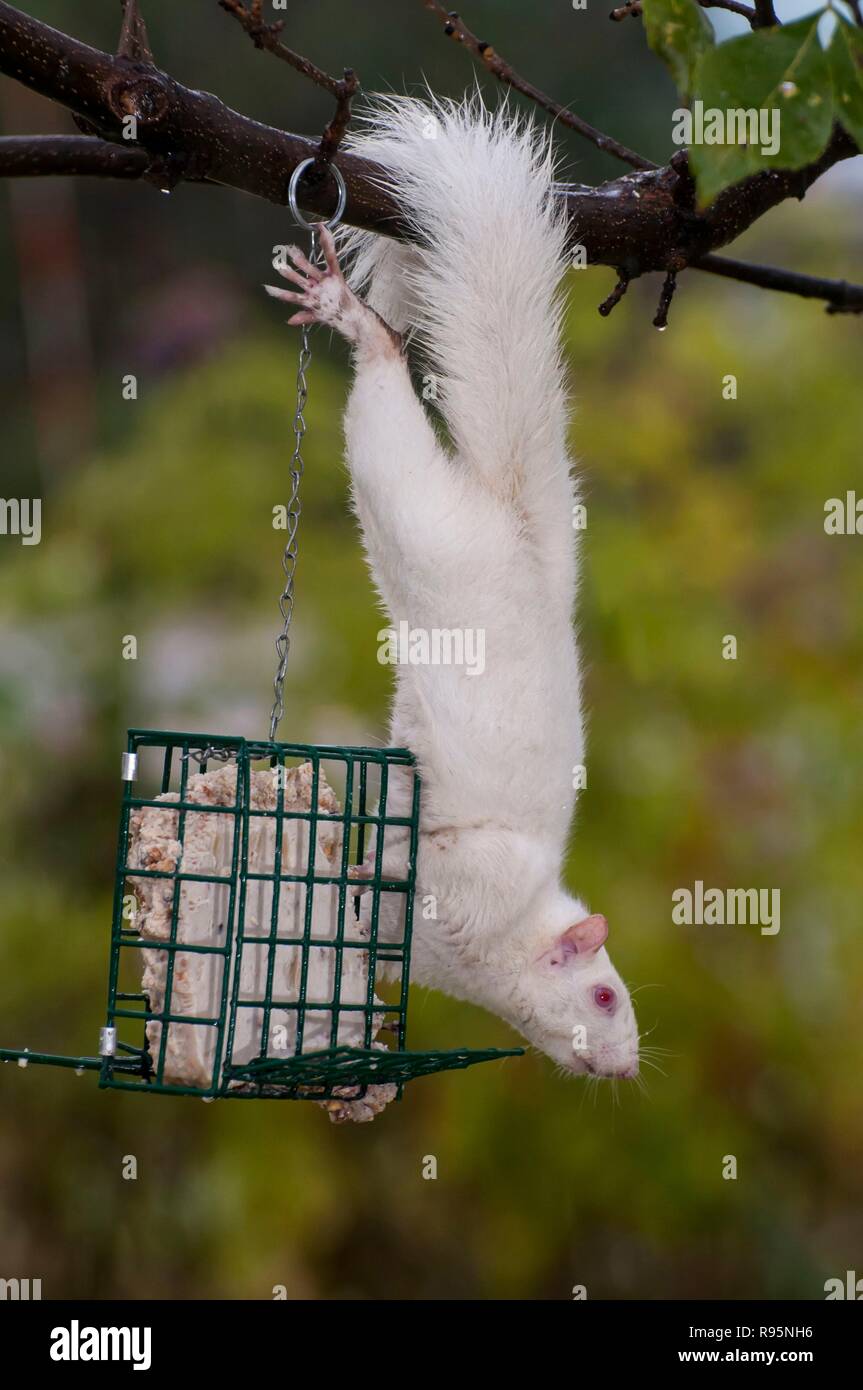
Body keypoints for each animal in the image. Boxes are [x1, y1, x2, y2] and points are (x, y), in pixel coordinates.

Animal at [265, 97, 636, 1078]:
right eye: (603, 994)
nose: (625, 1065)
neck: (494, 954)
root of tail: (522, 541)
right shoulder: (468, 875)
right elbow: (406, 873)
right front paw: (357, 875)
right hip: (422, 521)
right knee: (385, 397)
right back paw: (349, 317)